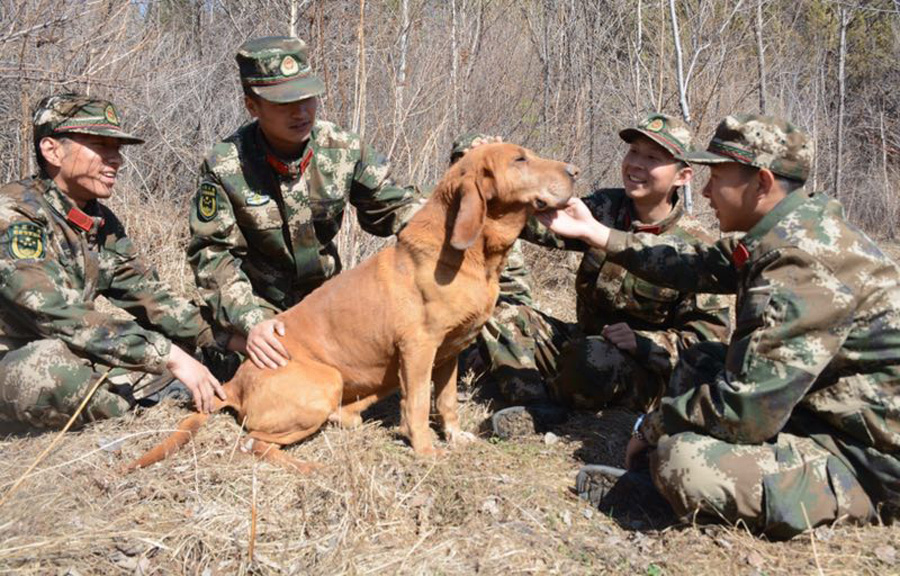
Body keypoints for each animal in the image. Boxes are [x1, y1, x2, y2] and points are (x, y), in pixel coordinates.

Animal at [125, 144, 576, 472]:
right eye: (520, 159)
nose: (574, 172)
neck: (475, 258)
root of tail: (234, 383)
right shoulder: (418, 349)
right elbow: (417, 404)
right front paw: (425, 450)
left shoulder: (450, 351)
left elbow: (446, 401)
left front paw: (454, 436)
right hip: (325, 382)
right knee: (252, 443)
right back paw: (310, 468)